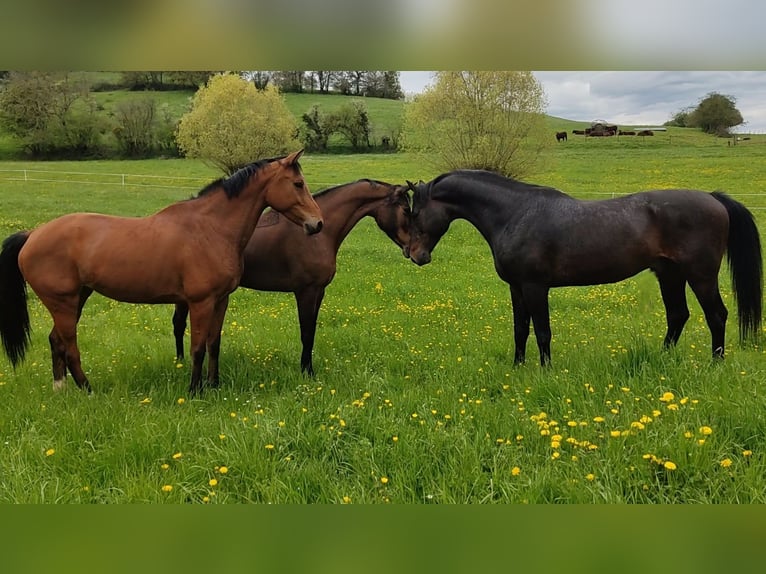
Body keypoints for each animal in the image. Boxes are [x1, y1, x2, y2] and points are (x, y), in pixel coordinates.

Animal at [0, 151, 326, 396]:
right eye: (298, 183)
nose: (317, 224)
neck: (210, 228)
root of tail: (32, 235)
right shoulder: (200, 302)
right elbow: (197, 347)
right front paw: (195, 391)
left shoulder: (221, 301)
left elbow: (214, 344)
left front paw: (214, 385)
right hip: (64, 303)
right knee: (69, 346)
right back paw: (88, 390)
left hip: (77, 298)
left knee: (56, 341)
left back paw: (62, 388)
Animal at [172, 180, 414, 378]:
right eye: (405, 208)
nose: (414, 250)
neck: (317, 234)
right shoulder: (306, 291)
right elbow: (306, 333)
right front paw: (307, 372)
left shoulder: (319, 291)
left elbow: (312, 330)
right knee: (179, 324)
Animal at [408, 172, 760, 368]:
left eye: (415, 213)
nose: (416, 256)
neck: (515, 214)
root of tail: (713, 198)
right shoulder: (516, 287)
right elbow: (520, 329)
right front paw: (518, 367)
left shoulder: (535, 286)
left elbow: (542, 331)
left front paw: (545, 370)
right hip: (669, 274)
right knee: (677, 315)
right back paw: (663, 358)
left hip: (701, 276)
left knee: (716, 315)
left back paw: (716, 363)